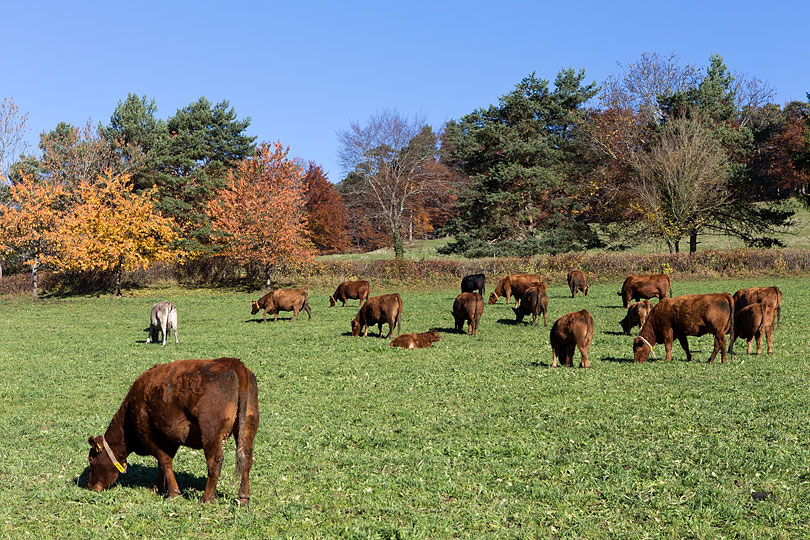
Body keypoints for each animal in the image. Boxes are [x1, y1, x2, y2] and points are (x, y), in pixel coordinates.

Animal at [85, 358, 258, 506]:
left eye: (91, 460)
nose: (90, 486)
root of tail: (231, 362)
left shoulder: (147, 435)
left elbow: (165, 461)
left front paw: (173, 493)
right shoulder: (169, 438)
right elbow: (162, 464)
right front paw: (157, 488)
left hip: (210, 431)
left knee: (215, 461)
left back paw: (207, 498)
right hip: (248, 426)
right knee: (247, 459)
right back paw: (243, 498)